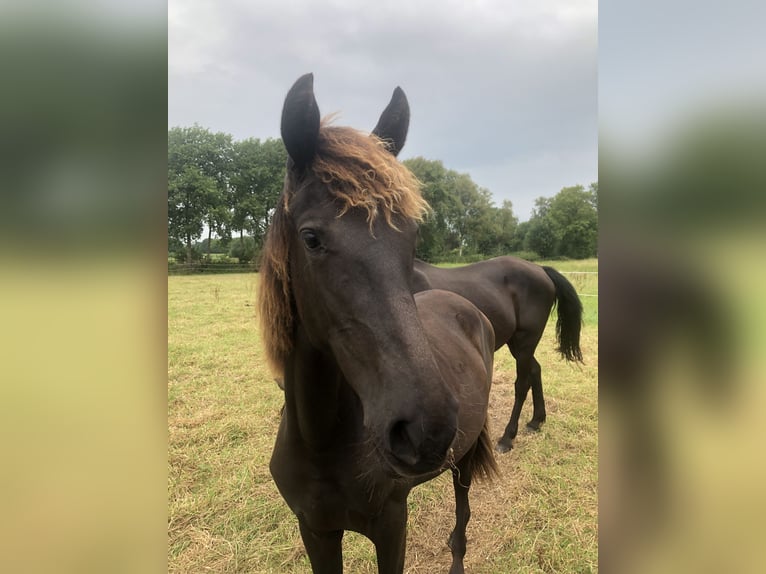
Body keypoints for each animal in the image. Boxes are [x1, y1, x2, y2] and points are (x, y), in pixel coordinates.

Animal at [258, 75, 498, 574]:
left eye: (411, 237)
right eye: (311, 238)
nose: (426, 430)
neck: (321, 442)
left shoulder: (390, 525)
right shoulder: (316, 531)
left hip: (463, 461)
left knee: (462, 515)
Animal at [416, 258, 584, 452]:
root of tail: (540, 269)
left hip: (525, 342)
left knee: (522, 385)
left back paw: (507, 437)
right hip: (517, 345)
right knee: (536, 370)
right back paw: (536, 421)